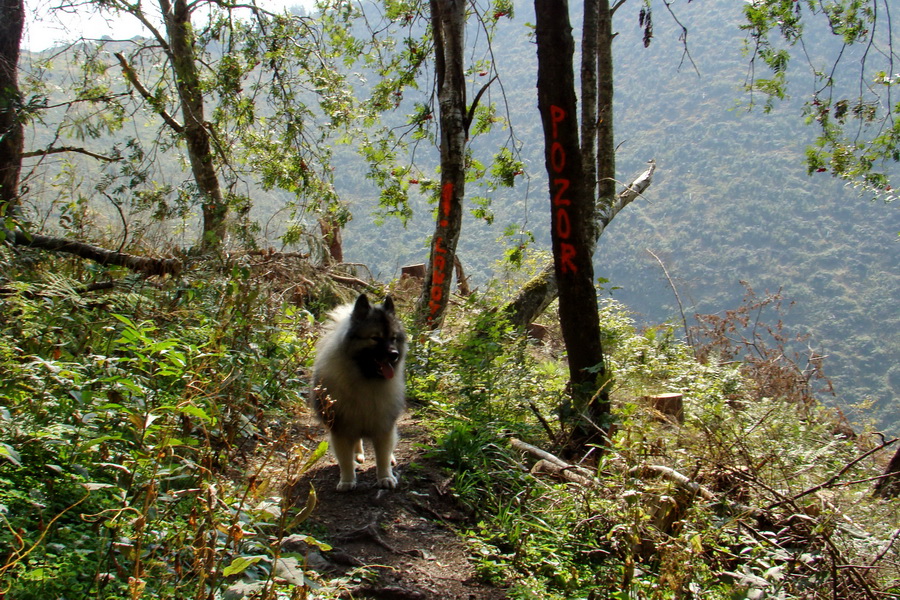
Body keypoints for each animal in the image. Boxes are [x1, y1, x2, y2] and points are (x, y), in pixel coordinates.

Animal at [310, 292, 408, 490]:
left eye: (393, 338)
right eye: (375, 338)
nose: (394, 354)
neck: (366, 380)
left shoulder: (383, 426)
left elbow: (382, 457)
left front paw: (385, 477)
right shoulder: (341, 428)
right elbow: (345, 460)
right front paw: (347, 480)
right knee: (357, 442)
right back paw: (358, 455)